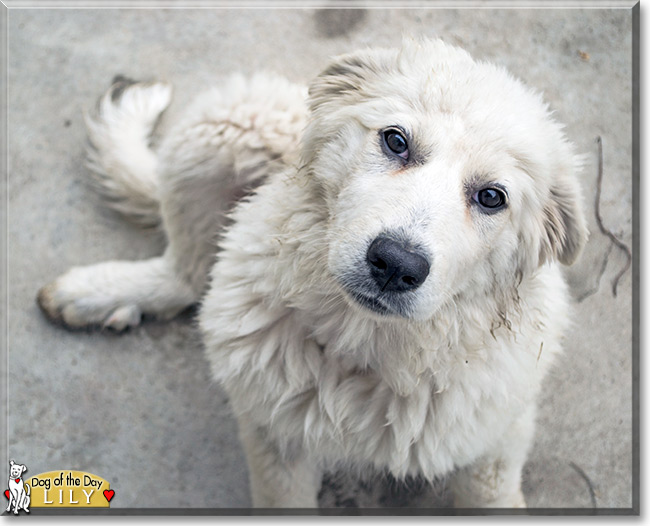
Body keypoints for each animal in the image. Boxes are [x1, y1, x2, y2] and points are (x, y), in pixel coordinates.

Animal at [39, 39, 588, 510]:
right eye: (396, 141)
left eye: (491, 196)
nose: (395, 264)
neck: (364, 346)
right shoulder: (274, 434)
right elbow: (281, 499)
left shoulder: (495, 440)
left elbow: (494, 496)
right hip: (230, 118)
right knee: (187, 271)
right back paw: (97, 293)